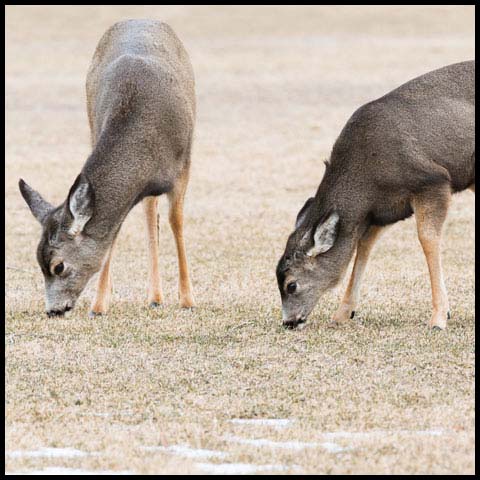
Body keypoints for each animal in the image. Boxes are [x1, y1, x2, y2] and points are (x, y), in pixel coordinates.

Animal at [18, 20, 195, 316]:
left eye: (58, 266)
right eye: (38, 263)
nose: (53, 310)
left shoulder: (183, 166)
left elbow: (176, 221)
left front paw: (187, 300)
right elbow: (112, 234)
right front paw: (99, 305)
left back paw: (158, 296)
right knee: (149, 211)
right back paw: (151, 296)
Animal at [276, 60, 474, 330]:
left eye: (291, 285)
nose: (289, 322)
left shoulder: (432, 181)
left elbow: (427, 239)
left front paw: (439, 317)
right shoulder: (383, 211)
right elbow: (364, 245)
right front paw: (343, 313)